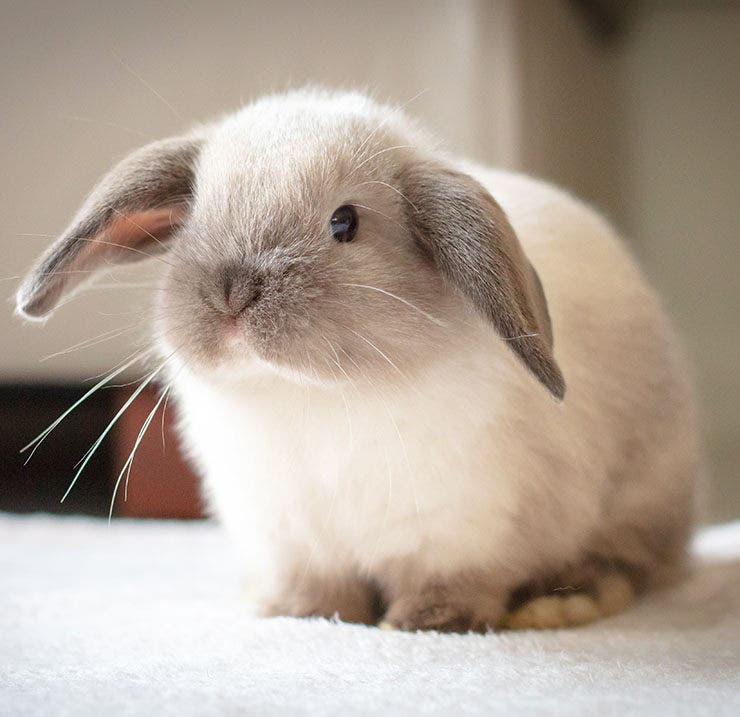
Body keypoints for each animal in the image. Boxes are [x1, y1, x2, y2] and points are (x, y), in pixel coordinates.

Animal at [16, 89, 701, 632]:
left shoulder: (458, 531)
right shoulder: (292, 537)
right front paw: (302, 615)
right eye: (194, 219)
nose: (231, 293)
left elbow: (453, 583)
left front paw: (426, 623)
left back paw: (557, 605)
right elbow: (319, 588)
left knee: (628, 566)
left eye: (344, 224)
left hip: (638, 498)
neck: (309, 394)